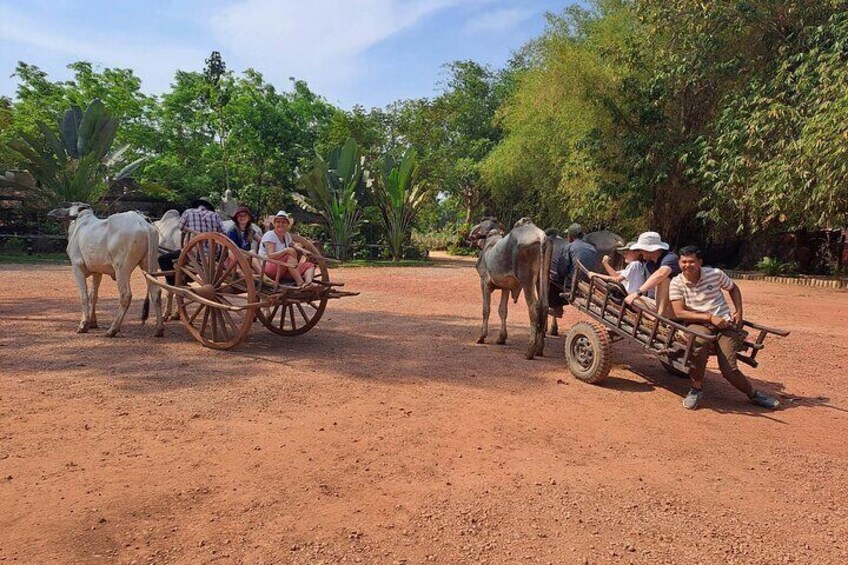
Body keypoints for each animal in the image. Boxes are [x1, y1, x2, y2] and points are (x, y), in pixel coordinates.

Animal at [48, 203, 164, 338]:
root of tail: (142, 222)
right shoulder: (97, 272)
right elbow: (93, 295)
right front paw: (92, 322)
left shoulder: (77, 267)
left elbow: (84, 296)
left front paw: (83, 325)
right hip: (149, 264)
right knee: (156, 292)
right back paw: (159, 329)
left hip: (121, 269)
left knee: (126, 295)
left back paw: (113, 329)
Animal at [469, 217, 553, 360]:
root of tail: (541, 236)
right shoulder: (506, 288)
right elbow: (503, 310)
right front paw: (501, 338)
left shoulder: (484, 283)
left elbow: (486, 309)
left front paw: (482, 337)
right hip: (543, 278)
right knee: (545, 307)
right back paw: (539, 348)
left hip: (527, 281)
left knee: (534, 309)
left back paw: (530, 351)